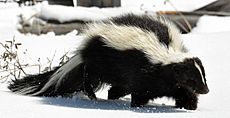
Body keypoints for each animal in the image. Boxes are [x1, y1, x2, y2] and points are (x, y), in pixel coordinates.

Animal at [7, 13, 208, 109]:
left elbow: (181, 90)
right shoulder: (143, 71)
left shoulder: (169, 80)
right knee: (89, 77)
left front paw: (189, 105)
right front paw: (137, 105)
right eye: (192, 78)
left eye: (203, 76)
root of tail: (85, 47)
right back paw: (94, 95)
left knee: (116, 86)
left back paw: (112, 96)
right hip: (101, 62)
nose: (206, 90)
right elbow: (141, 90)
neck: (166, 55)